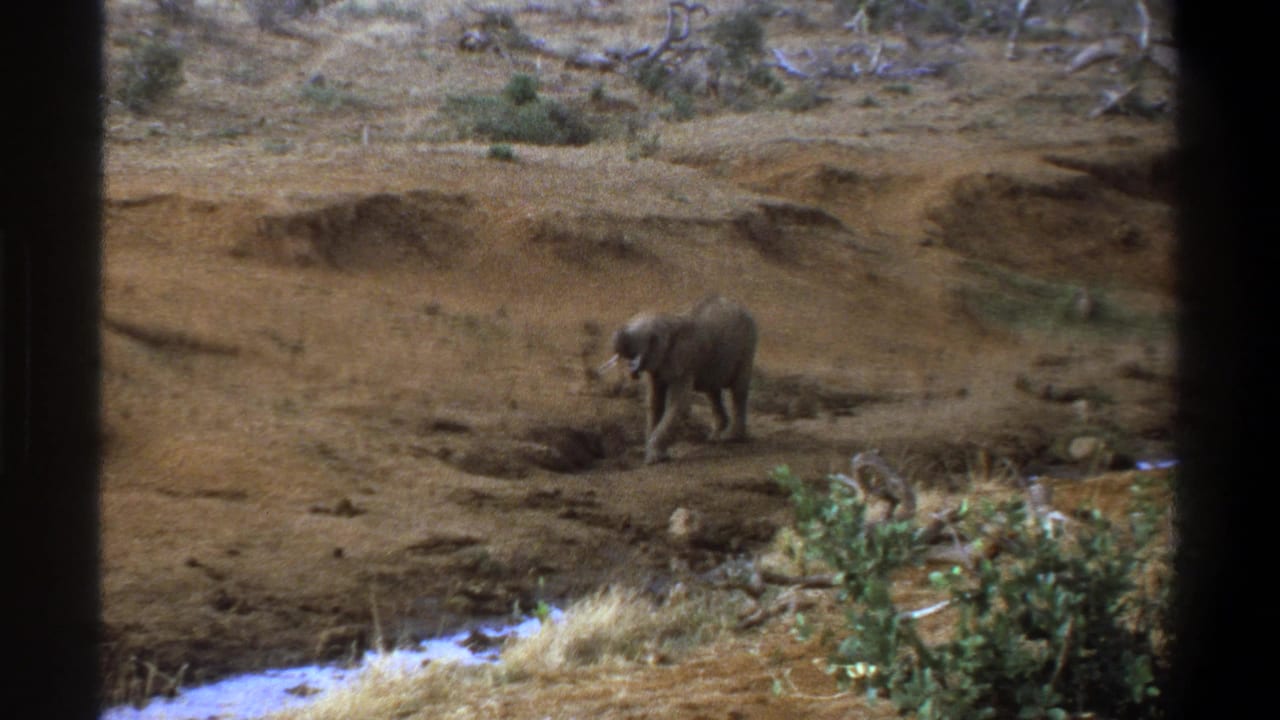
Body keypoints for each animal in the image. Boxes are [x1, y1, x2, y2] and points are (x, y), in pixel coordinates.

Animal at [603, 295, 758, 464]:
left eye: (647, 339)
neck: (664, 321)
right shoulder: (657, 366)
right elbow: (654, 402)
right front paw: (655, 456)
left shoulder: (684, 360)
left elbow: (678, 404)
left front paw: (653, 460)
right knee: (712, 391)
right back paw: (714, 438)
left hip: (747, 345)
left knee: (738, 390)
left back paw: (730, 438)